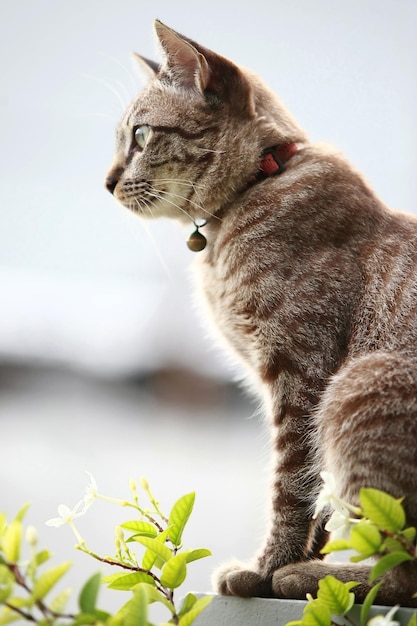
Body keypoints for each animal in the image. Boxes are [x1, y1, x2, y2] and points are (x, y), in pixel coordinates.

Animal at [105, 19, 416, 604]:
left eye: (141, 136)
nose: (106, 182)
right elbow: (318, 513)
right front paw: (288, 564)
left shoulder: (301, 377)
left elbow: (291, 489)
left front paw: (270, 569)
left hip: (359, 383)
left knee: (403, 575)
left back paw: (315, 579)